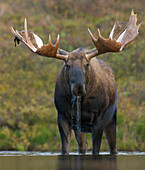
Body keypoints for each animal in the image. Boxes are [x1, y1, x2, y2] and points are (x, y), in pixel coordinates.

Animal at [11, 9, 140, 155]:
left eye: (87, 64)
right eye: (67, 65)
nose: (78, 87)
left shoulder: (99, 117)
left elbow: (96, 150)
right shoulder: (62, 115)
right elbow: (65, 149)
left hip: (112, 118)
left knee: (113, 148)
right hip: (81, 126)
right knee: (83, 147)